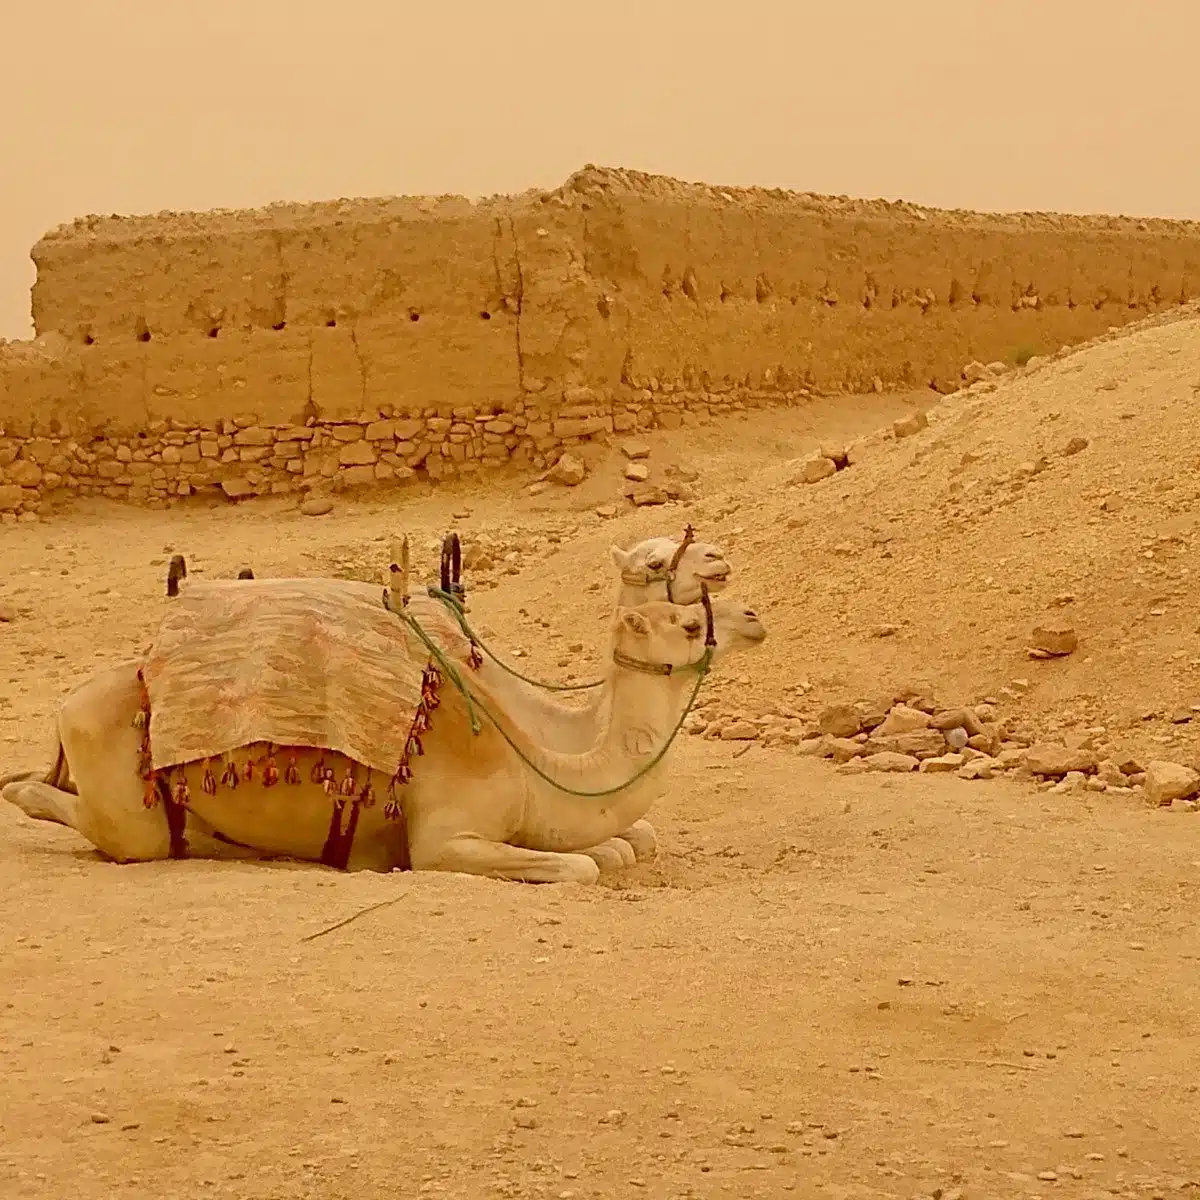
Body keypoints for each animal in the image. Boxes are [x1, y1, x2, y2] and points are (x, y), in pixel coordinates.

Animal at [1, 590, 766, 883]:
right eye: (688, 622)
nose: (754, 616)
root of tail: (67, 702)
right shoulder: (446, 838)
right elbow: (585, 863)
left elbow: (620, 844)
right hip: (128, 811)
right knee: (97, 820)